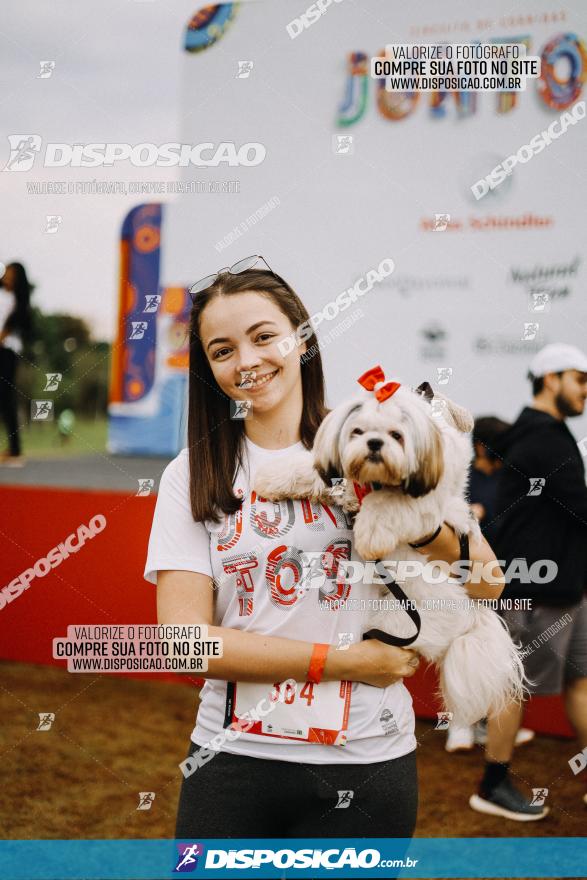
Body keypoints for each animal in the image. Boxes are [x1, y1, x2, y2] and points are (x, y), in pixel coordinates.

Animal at [253, 366, 524, 728]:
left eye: (399, 434)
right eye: (359, 429)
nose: (374, 443)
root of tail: (469, 617)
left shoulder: (424, 505)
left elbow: (388, 505)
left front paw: (370, 533)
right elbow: (312, 471)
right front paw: (271, 477)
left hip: (396, 623)